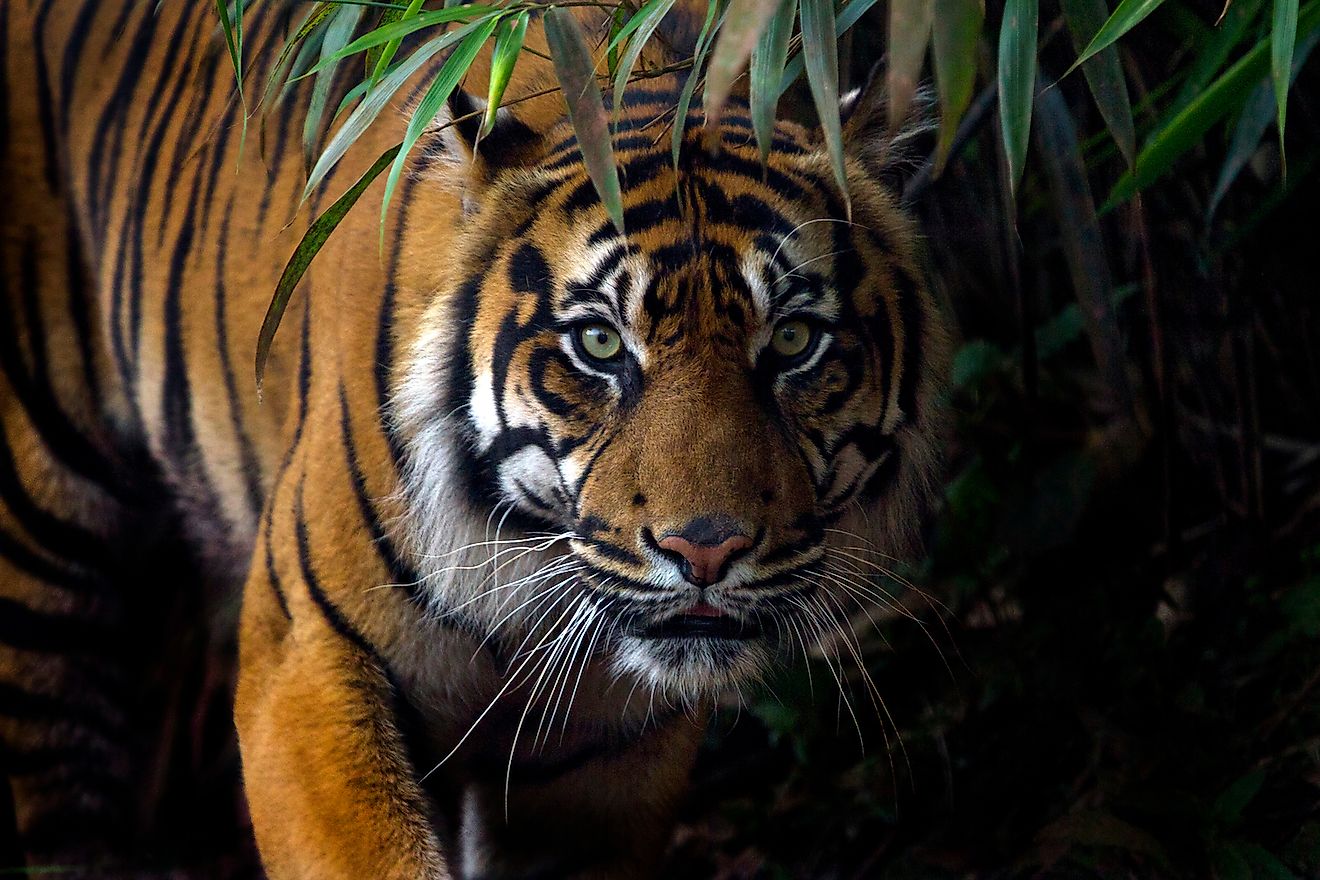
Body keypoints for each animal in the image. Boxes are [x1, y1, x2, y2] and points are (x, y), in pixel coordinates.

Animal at [0, 3, 950, 876]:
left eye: (792, 341)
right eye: (599, 343)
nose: (705, 551)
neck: (528, 563)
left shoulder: (599, 756)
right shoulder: (304, 658)